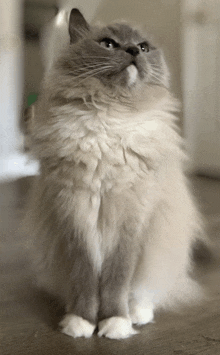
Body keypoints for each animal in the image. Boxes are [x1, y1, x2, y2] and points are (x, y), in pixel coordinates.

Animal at [24, 6, 205, 338]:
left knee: (144, 294)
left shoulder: (131, 218)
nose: (133, 51)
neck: (110, 114)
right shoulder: (75, 213)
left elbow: (117, 279)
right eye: (108, 44)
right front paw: (82, 323)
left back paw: (136, 316)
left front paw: (115, 324)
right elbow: (85, 277)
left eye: (143, 48)